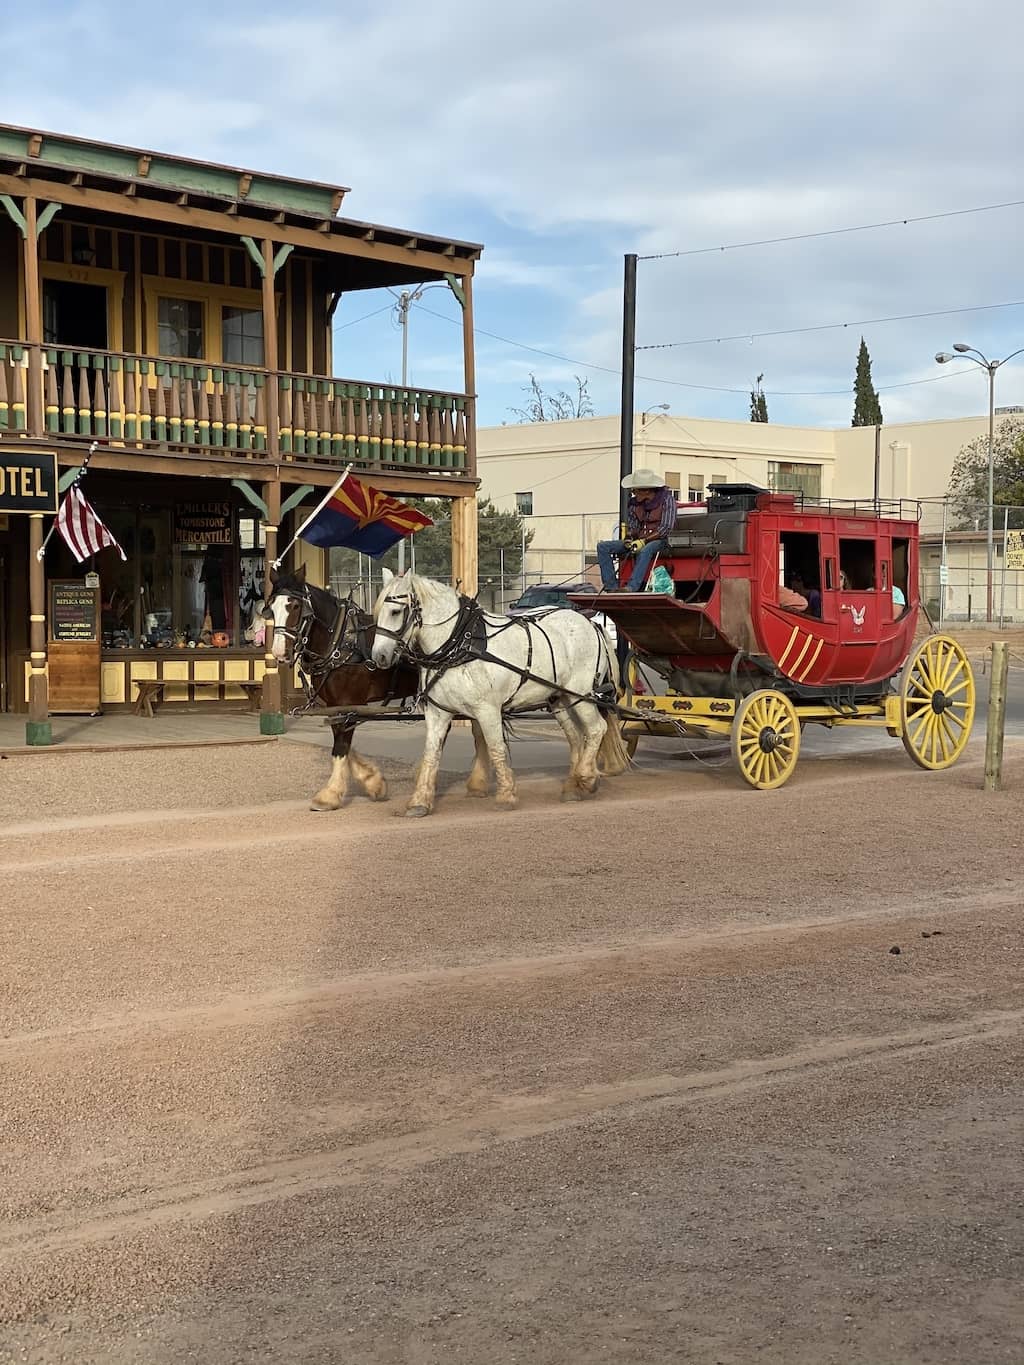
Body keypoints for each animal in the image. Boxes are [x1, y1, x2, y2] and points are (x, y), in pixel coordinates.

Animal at [262, 565, 491, 808]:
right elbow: (342, 742)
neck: (340, 641)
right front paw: (373, 782)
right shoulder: (336, 706)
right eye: (272, 608)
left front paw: (330, 794)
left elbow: (341, 745)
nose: (279, 652)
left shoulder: (350, 702)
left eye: (295, 606)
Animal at [368, 570, 625, 813]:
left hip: (581, 695)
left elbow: (495, 748)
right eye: (378, 612)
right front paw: (419, 802)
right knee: (576, 737)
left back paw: (587, 777)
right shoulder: (438, 713)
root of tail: (590, 624)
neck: (461, 644)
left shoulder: (488, 710)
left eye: (395, 612)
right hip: (559, 699)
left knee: (596, 729)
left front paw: (505, 796)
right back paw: (573, 786)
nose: (379, 656)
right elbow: (431, 753)